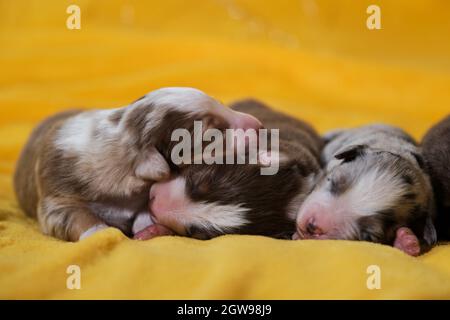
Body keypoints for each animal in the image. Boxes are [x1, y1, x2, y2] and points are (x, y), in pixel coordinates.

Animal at [14, 86, 262, 241]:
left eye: (221, 103)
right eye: (214, 133)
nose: (259, 125)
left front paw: (149, 227)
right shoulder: (56, 196)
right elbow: (74, 217)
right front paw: (101, 233)